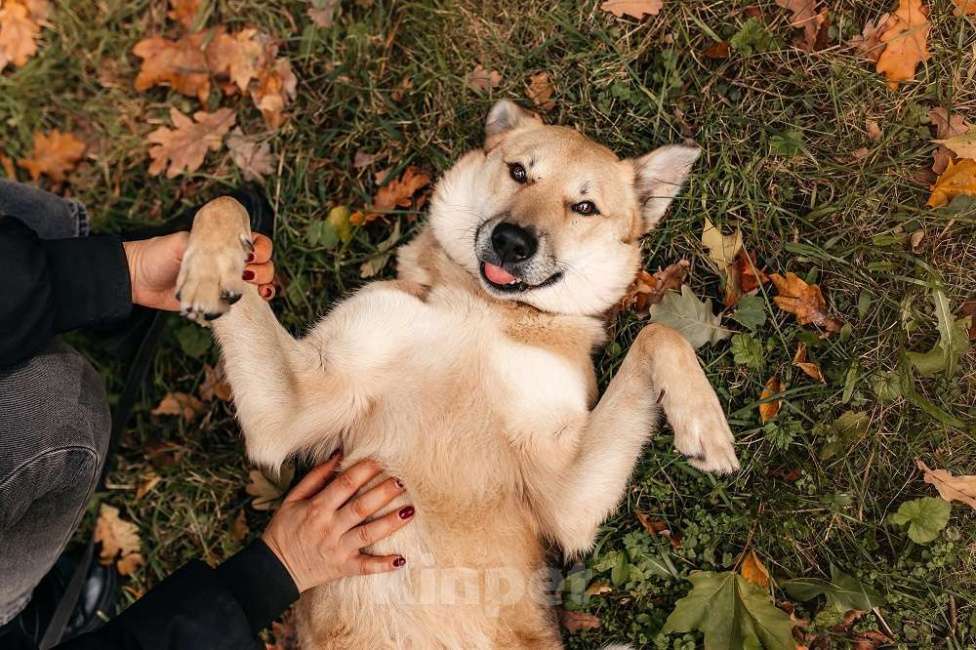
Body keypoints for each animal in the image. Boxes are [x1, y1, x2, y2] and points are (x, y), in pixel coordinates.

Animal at [175, 98, 740, 644]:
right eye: (519, 171)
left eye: (584, 207)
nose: (511, 241)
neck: (485, 311)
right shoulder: (288, 410)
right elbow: (220, 204)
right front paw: (209, 266)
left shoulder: (568, 499)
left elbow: (659, 334)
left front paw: (705, 424)